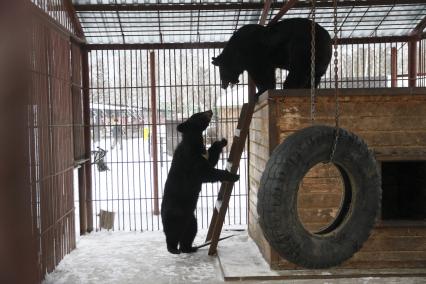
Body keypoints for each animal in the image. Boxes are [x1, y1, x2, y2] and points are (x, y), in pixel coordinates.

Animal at [161, 110, 240, 254]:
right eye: (198, 114)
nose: (210, 111)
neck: (194, 141)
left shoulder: (203, 155)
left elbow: (211, 159)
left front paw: (221, 141)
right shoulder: (191, 160)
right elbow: (207, 173)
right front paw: (234, 176)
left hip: (191, 220)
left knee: (189, 233)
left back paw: (190, 248)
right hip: (175, 215)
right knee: (173, 233)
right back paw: (173, 249)